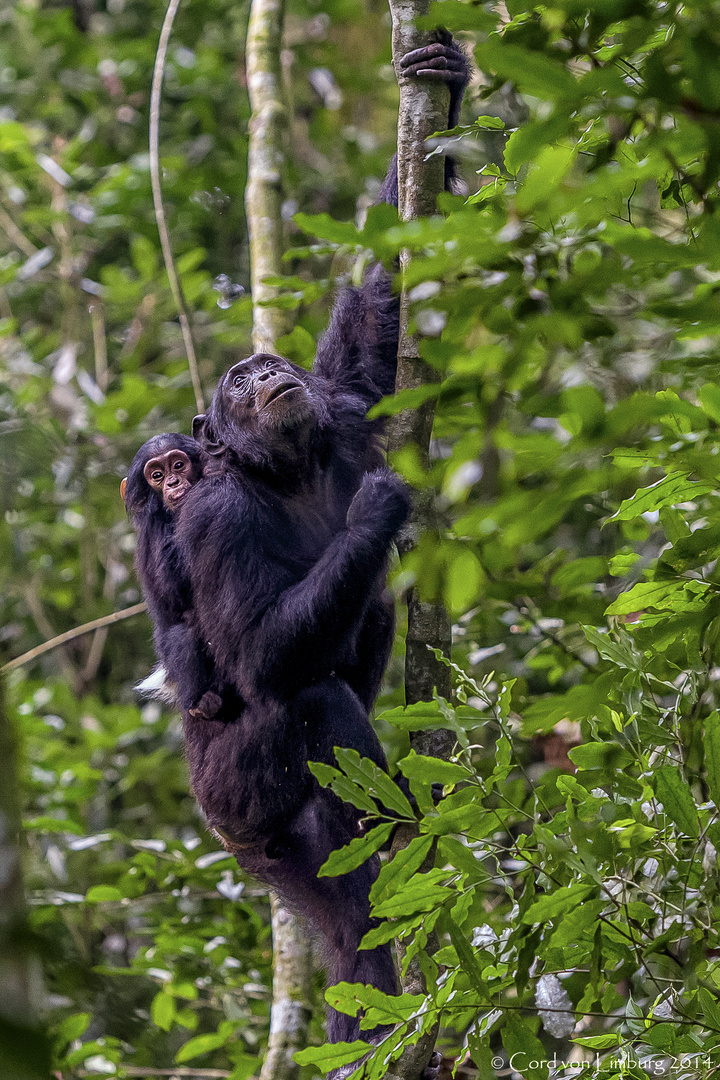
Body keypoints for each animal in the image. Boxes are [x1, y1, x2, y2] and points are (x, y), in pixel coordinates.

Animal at [124, 434, 229, 721]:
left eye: (179, 465)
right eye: (157, 475)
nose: (172, 482)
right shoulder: (155, 528)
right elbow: (173, 588)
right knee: (183, 634)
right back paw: (200, 702)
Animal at [174, 35, 470, 1054]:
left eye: (270, 365)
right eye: (236, 379)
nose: (263, 369)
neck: (285, 468)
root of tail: (231, 840)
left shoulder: (342, 406)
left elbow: (382, 314)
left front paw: (445, 69)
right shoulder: (212, 518)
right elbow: (261, 649)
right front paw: (380, 508)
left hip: (280, 853)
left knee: (343, 928)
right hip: (237, 795)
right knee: (308, 696)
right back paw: (398, 843)